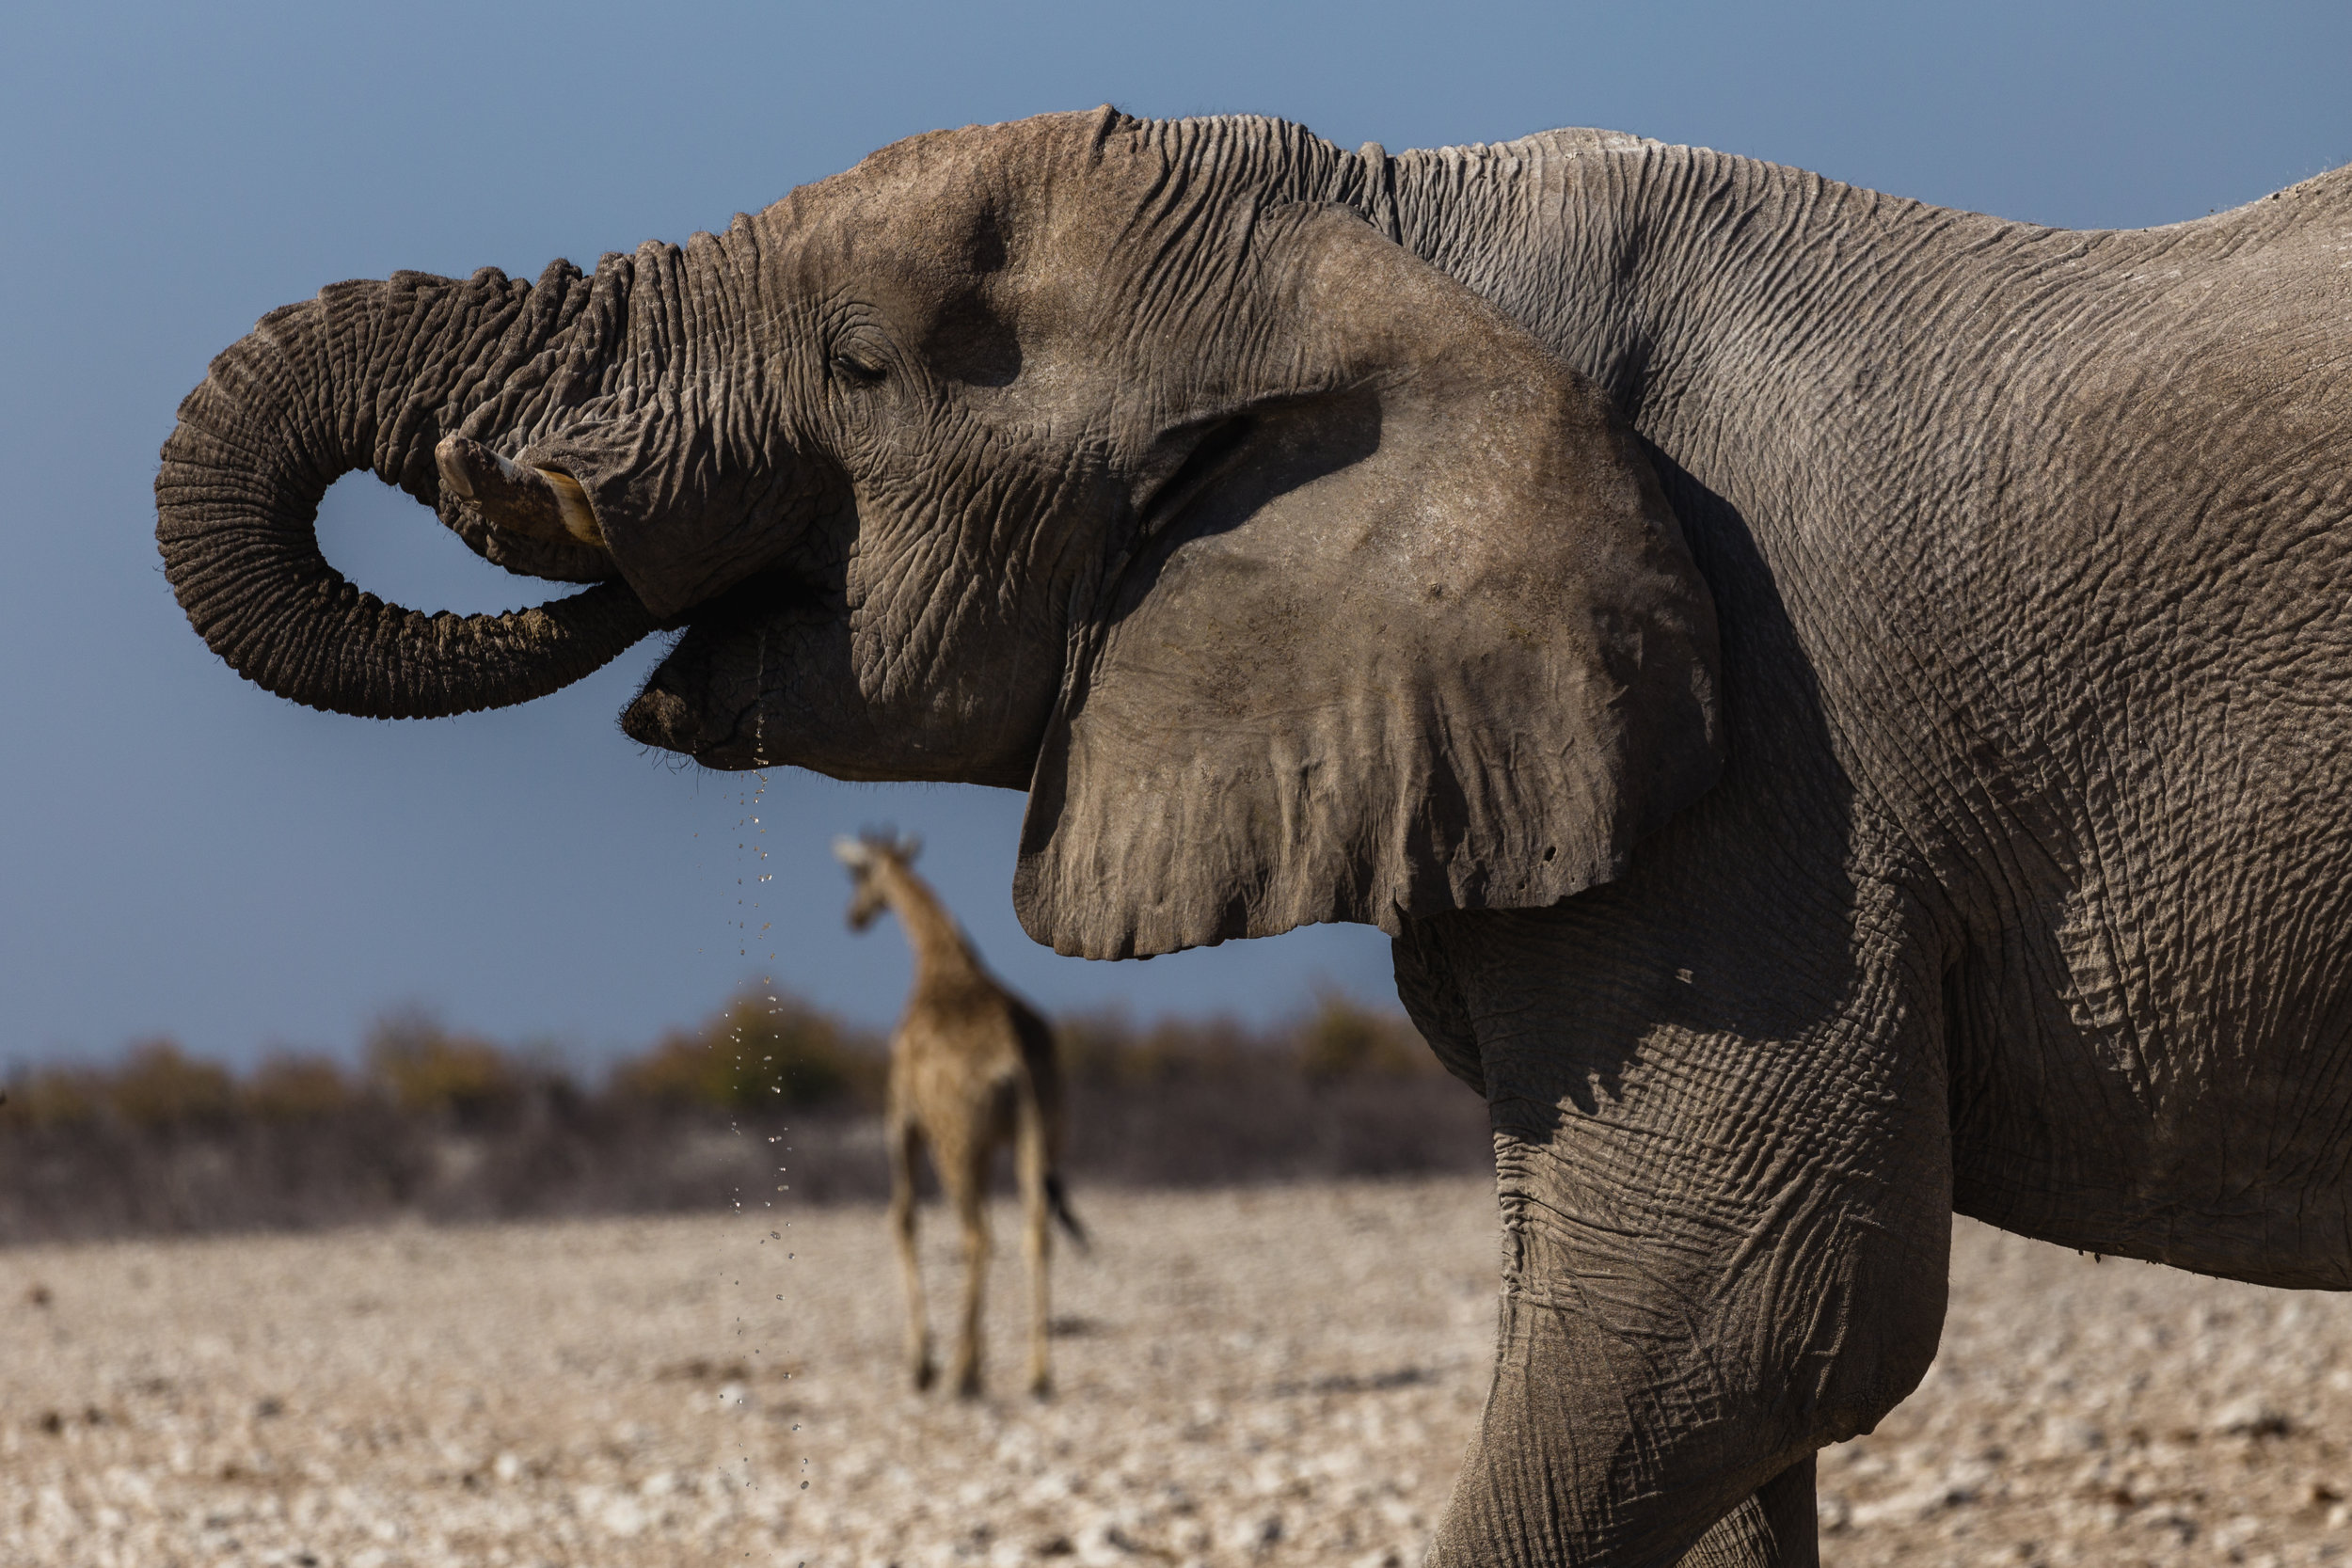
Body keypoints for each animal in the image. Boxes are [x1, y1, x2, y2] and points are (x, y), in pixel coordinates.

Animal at [833, 832, 1087, 1401]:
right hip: (1042, 1134)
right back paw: (1037, 1374)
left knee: (977, 1234)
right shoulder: (993, 1144)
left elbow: (902, 1218)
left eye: (859, 875)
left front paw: (921, 1365)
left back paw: (960, 1375)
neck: (940, 960)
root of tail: (1015, 1059)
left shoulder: (901, 1117)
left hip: (954, 1139)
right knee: (1035, 1232)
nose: (853, 917)